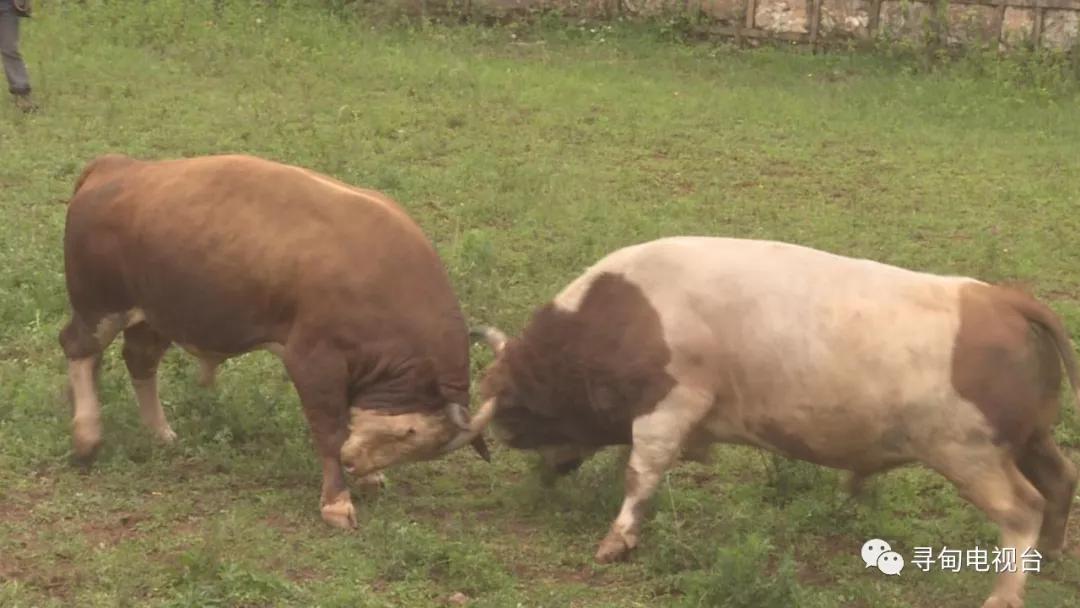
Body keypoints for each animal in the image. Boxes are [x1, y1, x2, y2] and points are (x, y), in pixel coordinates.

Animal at [58, 153, 496, 529]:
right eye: (409, 433)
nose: (356, 463)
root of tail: (116, 166)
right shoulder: (312, 361)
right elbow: (329, 430)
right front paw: (337, 502)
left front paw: (370, 479)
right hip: (100, 308)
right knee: (78, 350)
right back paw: (87, 437)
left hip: (154, 315)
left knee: (139, 360)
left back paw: (160, 433)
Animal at [471, 236, 1080, 608]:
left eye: (515, 414)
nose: (547, 473)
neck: (621, 317)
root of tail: (1007, 302)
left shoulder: (674, 401)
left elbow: (641, 471)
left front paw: (613, 544)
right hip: (1029, 437)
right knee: (1061, 479)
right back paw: (1051, 554)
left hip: (971, 451)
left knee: (1024, 507)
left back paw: (1003, 595)